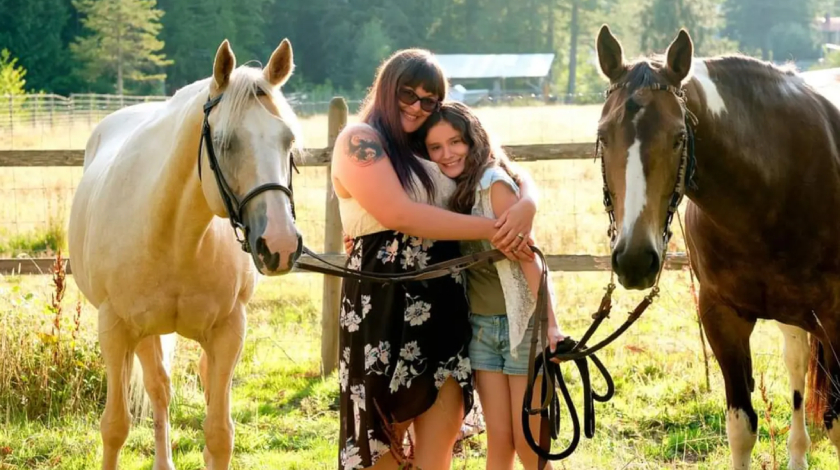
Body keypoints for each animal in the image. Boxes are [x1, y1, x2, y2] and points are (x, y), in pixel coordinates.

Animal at [69, 38, 304, 468]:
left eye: (288, 141)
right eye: (225, 142)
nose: (279, 245)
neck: (176, 238)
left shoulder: (229, 331)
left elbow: (219, 434)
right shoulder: (115, 329)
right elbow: (115, 427)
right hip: (144, 333)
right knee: (159, 389)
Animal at [592, 25, 840, 470]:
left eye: (678, 138)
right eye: (603, 136)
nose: (635, 260)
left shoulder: (836, 320)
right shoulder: (721, 317)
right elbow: (741, 429)